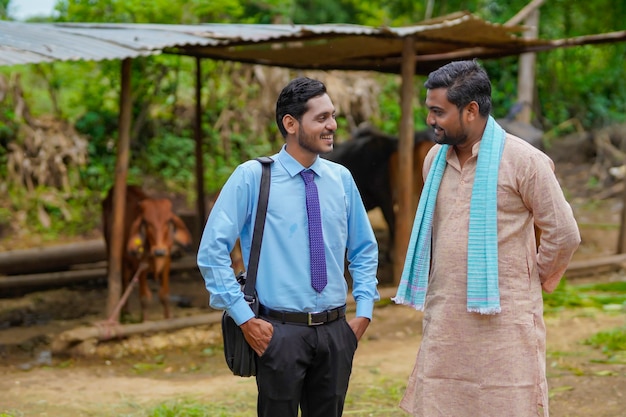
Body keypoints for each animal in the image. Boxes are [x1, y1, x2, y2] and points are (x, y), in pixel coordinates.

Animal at [100, 184, 191, 320]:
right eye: (147, 223)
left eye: (168, 221)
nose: (159, 251)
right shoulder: (140, 265)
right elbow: (145, 298)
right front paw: (145, 321)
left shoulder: (167, 261)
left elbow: (164, 295)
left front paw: (168, 318)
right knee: (124, 281)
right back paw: (125, 312)